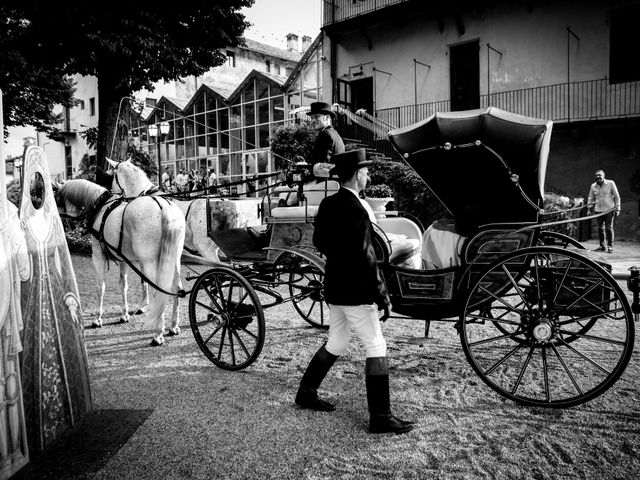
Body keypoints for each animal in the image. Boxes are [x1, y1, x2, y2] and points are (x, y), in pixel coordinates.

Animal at [52, 177, 185, 344]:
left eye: (56, 196)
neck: (99, 205)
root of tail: (164, 206)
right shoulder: (123, 260)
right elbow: (123, 286)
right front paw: (124, 314)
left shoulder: (98, 256)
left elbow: (100, 287)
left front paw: (98, 318)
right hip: (174, 259)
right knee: (176, 288)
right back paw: (173, 326)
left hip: (149, 262)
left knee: (158, 291)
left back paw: (158, 333)